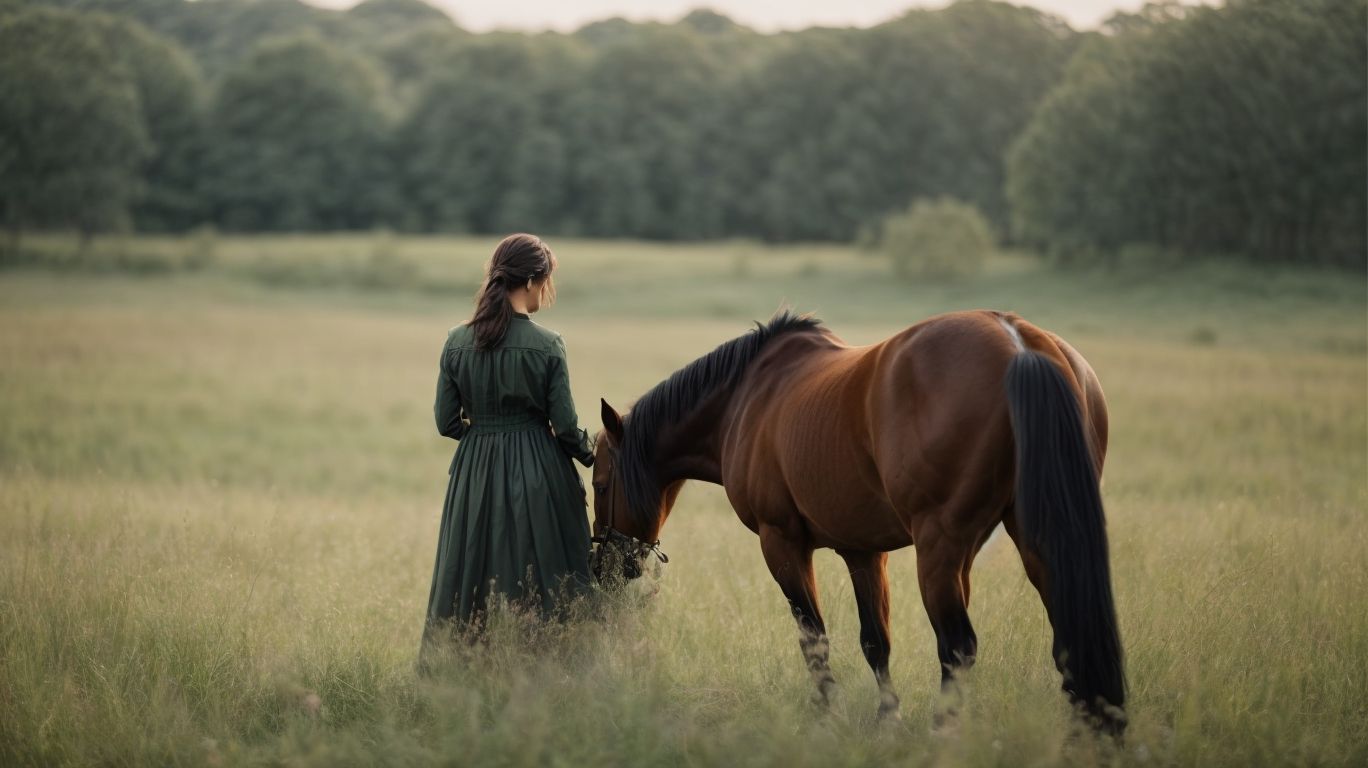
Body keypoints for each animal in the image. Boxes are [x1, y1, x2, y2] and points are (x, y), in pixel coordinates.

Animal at [588, 309, 1126, 733]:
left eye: (600, 483)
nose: (604, 567)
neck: (746, 398)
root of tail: (1018, 343)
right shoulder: (864, 551)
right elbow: (875, 641)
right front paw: (887, 718)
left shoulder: (781, 543)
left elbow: (814, 637)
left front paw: (831, 714)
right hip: (1033, 540)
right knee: (1068, 639)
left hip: (940, 550)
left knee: (958, 646)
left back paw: (943, 733)